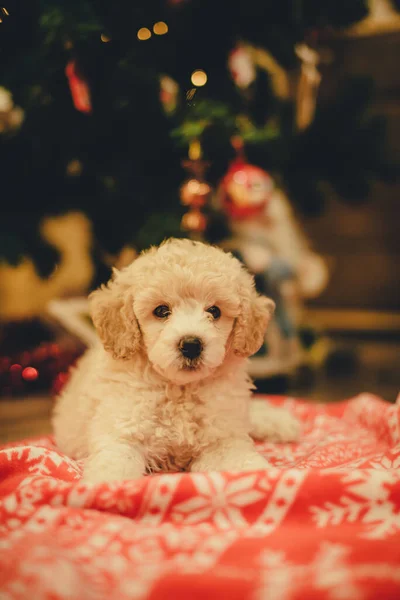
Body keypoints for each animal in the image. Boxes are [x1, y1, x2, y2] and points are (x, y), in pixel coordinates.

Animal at [51, 237, 298, 486]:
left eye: (214, 311)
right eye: (161, 311)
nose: (191, 345)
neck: (179, 390)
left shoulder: (221, 439)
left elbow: (244, 463)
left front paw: (266, 476)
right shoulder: (121, 433)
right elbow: (113, 469)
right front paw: (106, 487)